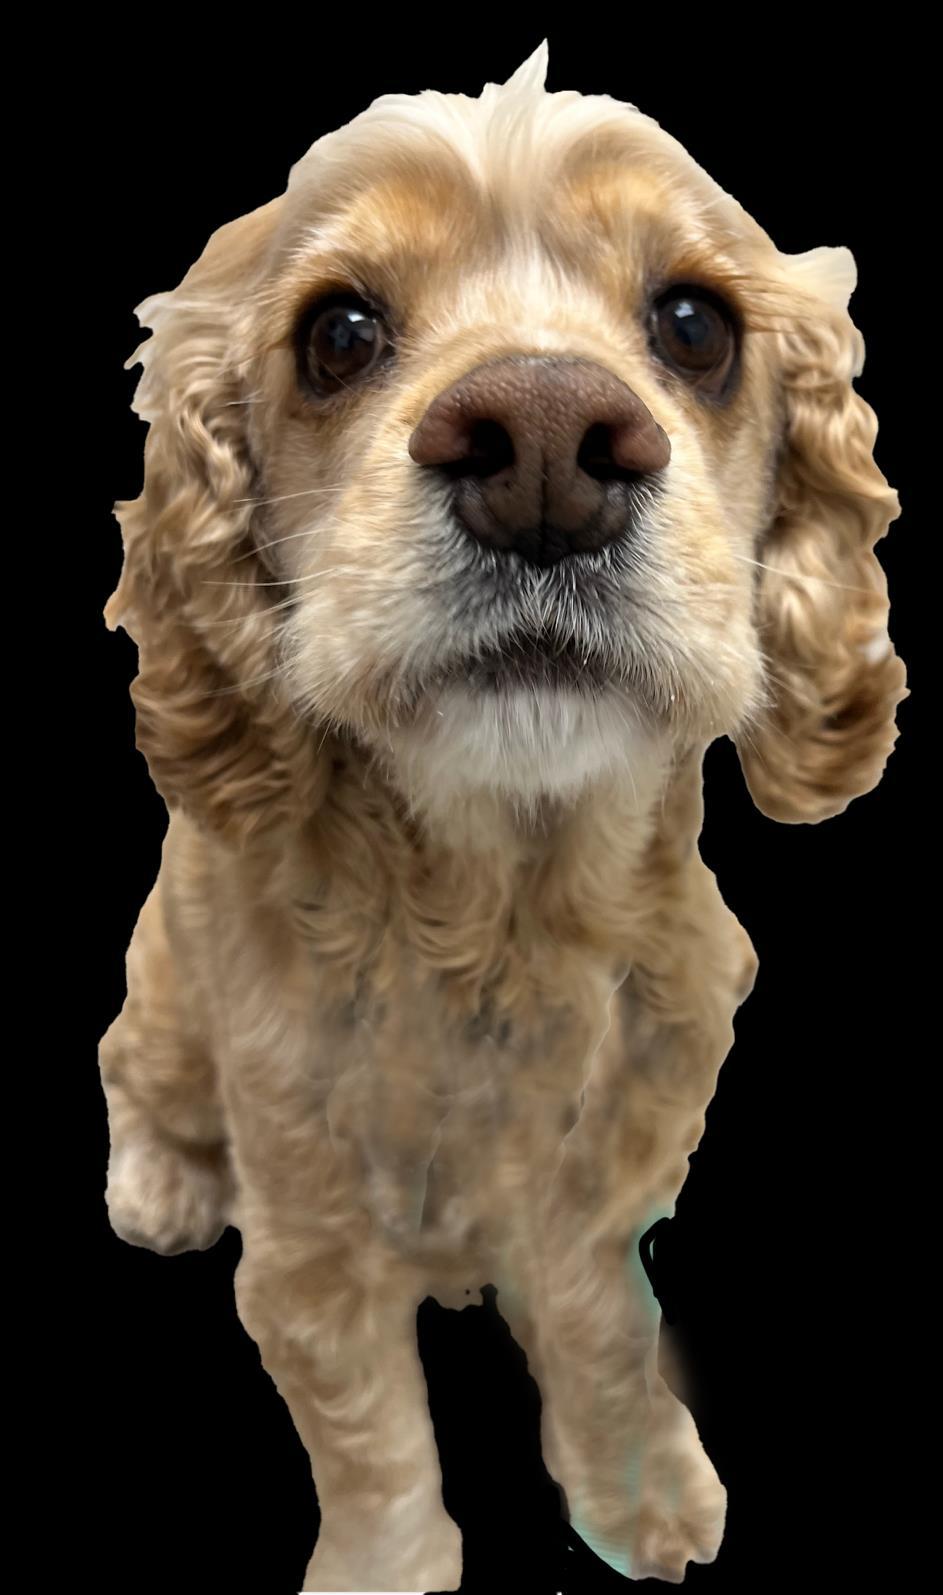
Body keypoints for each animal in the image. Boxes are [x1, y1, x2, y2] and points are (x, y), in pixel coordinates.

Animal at [100, 41, 906, 1590]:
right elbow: (371, 1439)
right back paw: (159, 1183)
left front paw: (642, 1490)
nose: (541, 442)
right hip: (166, 1001)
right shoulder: (308, 1252)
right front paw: (381, 1574)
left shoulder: (604, 1195)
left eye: (694, 325)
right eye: (338, 332)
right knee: (128, 1069)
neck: (502, 914)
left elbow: (600, 1337)